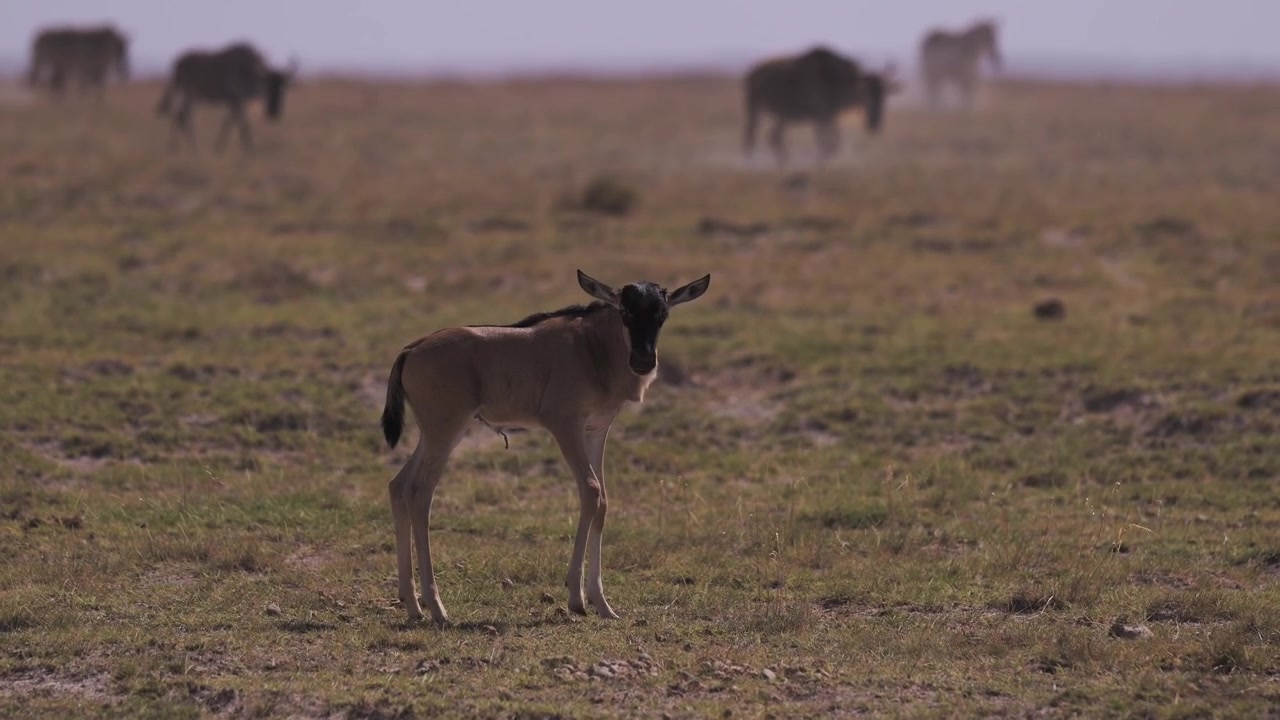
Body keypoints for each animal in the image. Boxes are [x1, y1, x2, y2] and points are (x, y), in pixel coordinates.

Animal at [380, 270, 711, 624]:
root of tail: (411, 350)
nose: (643, 362)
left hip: (432, 436)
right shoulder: (564, 425)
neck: (593, 348)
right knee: (420, 494)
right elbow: (591, 491)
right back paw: (436, 607)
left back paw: (413, 605)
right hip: (445, 433)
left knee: (399, 486)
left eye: (662, 314)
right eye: (625, 310)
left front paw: (603, 604)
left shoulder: (596, 430)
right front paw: (577, 599)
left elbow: (604, 502)